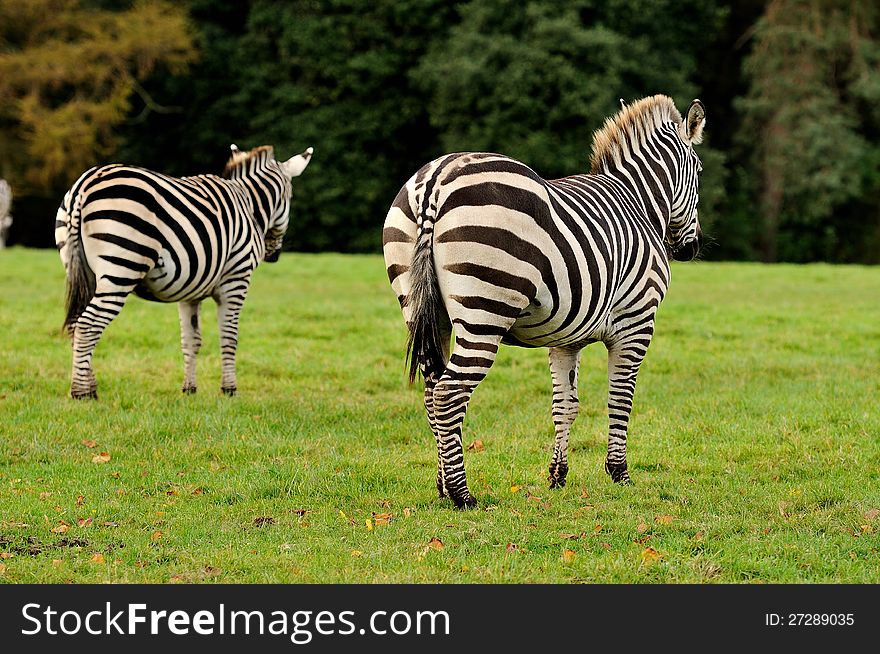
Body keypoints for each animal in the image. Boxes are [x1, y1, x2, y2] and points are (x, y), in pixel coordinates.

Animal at [54, 144, 312, 400]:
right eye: (290, 197)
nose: (273, 255)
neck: (249, 206)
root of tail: (84, 185)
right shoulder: (236, 279)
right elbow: (229, 337)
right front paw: (229, 390)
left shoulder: (190, 290)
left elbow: (191, 340)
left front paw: (189, 390)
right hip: (122, 268)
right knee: (87, 325)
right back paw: (81, 392)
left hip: (80, 268)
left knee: (76, 324)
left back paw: (90, 387)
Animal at [384, 95, 708, 510]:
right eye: (699, 170)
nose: (690, 249)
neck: (637, 202)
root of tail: (435, 181)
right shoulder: (637, 323)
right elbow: (621, 398)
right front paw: (619, 473)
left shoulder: (566, 337)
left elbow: (565, 404)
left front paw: (558, 476)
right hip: (484, 313)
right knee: (448, 395)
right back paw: (462, 494)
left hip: (421, 309)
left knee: (430, 393)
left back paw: (442, 488)